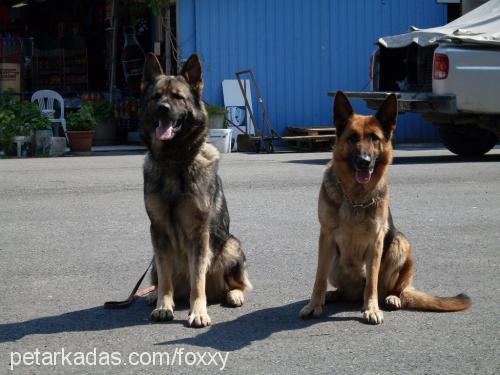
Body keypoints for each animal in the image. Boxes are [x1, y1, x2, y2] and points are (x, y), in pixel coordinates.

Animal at [140, 53, 250, 328]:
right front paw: (163, 305)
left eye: (178, 97)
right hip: (153, 258)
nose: (163, 109)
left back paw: (233, 295)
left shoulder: (199, 234)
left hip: (231, 245)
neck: (174, 160)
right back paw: (154, 297)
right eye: (156, 96)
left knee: (237, 284)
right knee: (161, 279)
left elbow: (197, 280)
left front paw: (198, 312)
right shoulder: (158, 231)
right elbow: (165, 279)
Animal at [300, 92, 468, 326]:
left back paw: (391, 298)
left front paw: (371, 309)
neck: (355, 197)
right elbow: (319, 278)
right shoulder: (326, 237)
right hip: (335, 261)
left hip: (400, 243)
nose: (364, 161)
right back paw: (333, 295)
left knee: (393, 289)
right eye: (353, 138)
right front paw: (314, 305)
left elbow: (372, 281)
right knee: (344, 290)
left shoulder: (376, 240)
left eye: (374, 138)